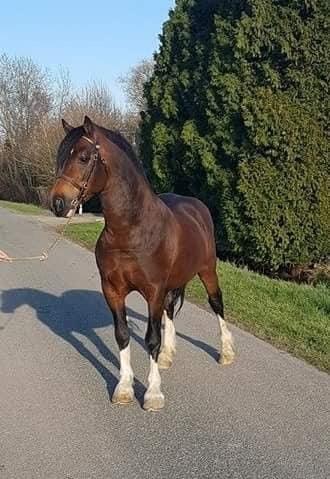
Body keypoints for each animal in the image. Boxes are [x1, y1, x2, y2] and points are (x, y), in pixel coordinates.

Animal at [49, 117, 235, 412]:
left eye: (83, 157)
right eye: (60, 156)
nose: (58, 203)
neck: (132, 230)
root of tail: (197, 205)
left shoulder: (153, 292)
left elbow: (151, 339)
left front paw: (153, 394)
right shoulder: (113, 290)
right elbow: (123, 334)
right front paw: (124, 388)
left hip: (207, 271)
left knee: (216, 304)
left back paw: (226, 352)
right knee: (170, 311)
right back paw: (169, 355)